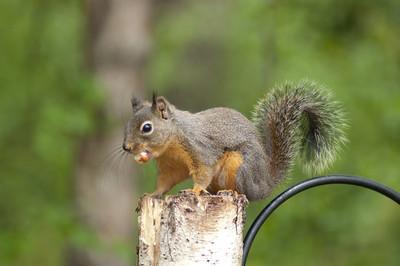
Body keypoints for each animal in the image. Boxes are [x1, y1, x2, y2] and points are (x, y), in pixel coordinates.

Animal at [122, 80, 346, 201]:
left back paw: (232, 193)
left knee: (243, 191)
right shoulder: (171, 165)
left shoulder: (199, 149)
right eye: (126, 125)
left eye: (147, 128)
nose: (126, 147)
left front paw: (195, 190)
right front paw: (153, 194)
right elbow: (166, 181)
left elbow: (203, 171)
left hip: (238, 165)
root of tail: (263, 185)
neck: (171, 143)